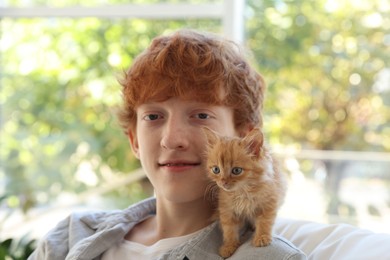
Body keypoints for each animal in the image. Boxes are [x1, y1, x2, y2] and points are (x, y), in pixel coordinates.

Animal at [204, 127, 286, 256]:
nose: (223, 182)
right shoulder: (227, 210)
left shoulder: (269, 203)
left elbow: (265, 222)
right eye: (216, 170)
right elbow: (229, 230)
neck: (242, 192)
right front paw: (229, 246)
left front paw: (262, 237)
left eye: (236, 170)